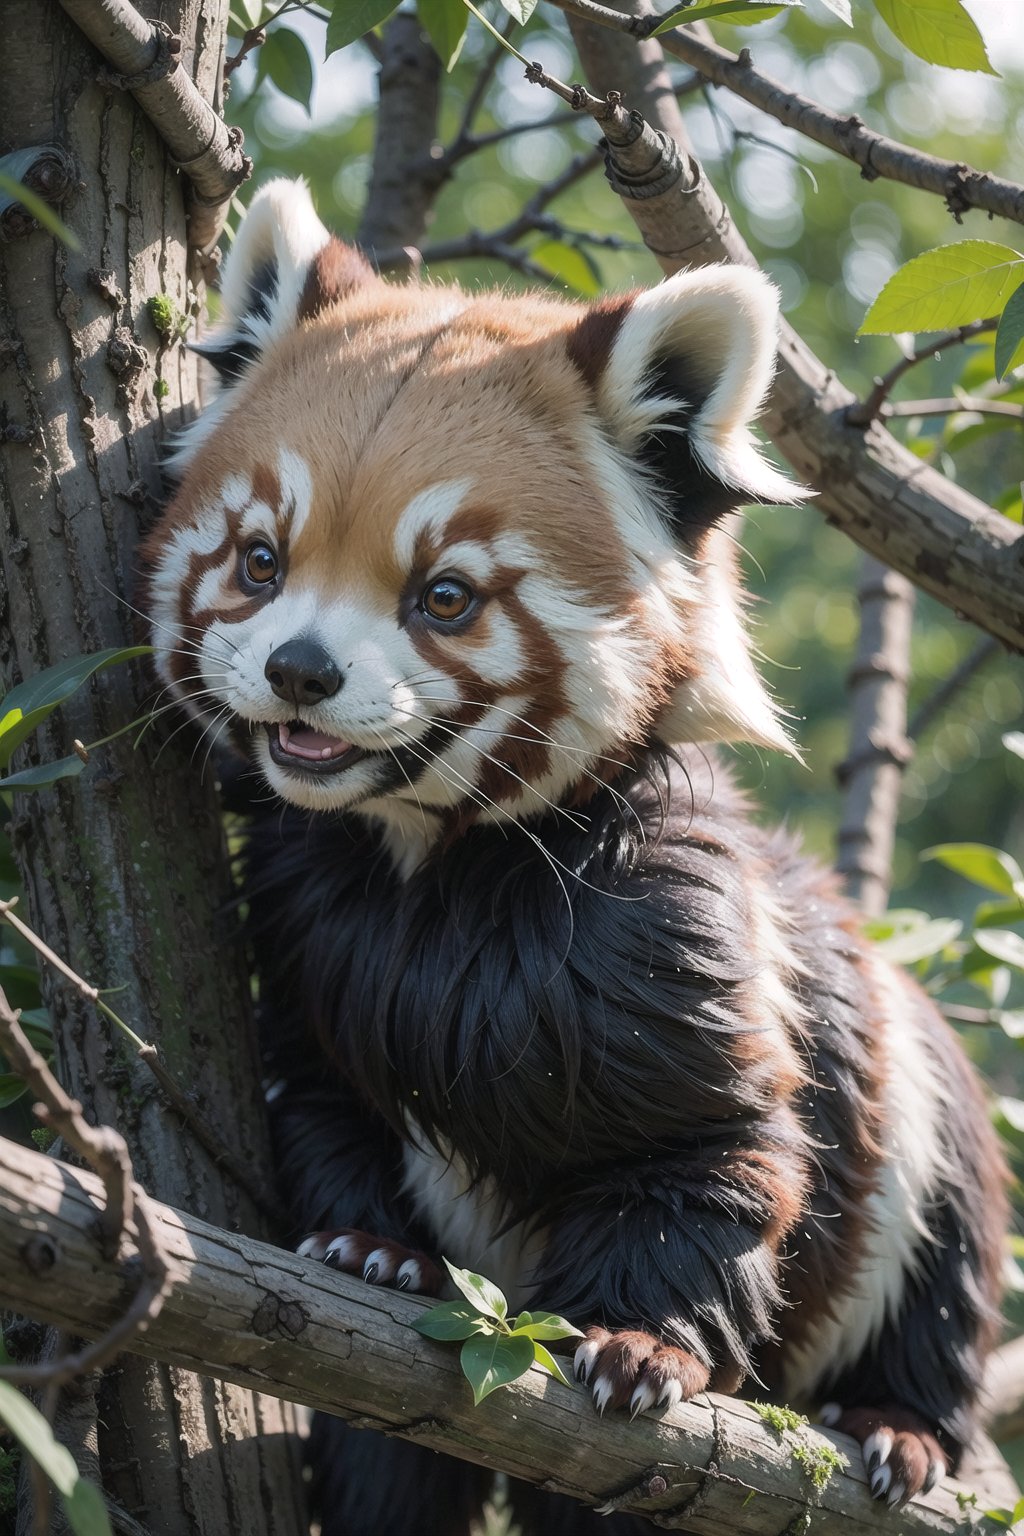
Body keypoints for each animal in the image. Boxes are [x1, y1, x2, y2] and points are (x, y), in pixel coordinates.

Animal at [144, 179, 1007, 1536]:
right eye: (260, 560)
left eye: (444, 596)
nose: (301, 671)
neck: (427, 868)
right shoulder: (299, 933)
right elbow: (322, 1098)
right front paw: (368, 1246)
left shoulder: (680, 942)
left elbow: (716, 1159)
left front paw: (639, 1344)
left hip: (921, 1123)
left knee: (940, 1267)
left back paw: (899, 1426)